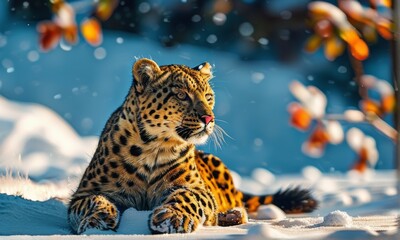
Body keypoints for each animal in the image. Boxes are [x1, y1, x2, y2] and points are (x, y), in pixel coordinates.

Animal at [69, 58, 318, 234]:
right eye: (181, 95)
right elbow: (93, 201)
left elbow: (188, 197)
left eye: (208, 96)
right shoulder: (85, 192)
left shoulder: (197, 188)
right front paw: (99, 218)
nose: (209, 118)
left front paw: (172, 218)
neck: (151, 148)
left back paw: (231, 215)